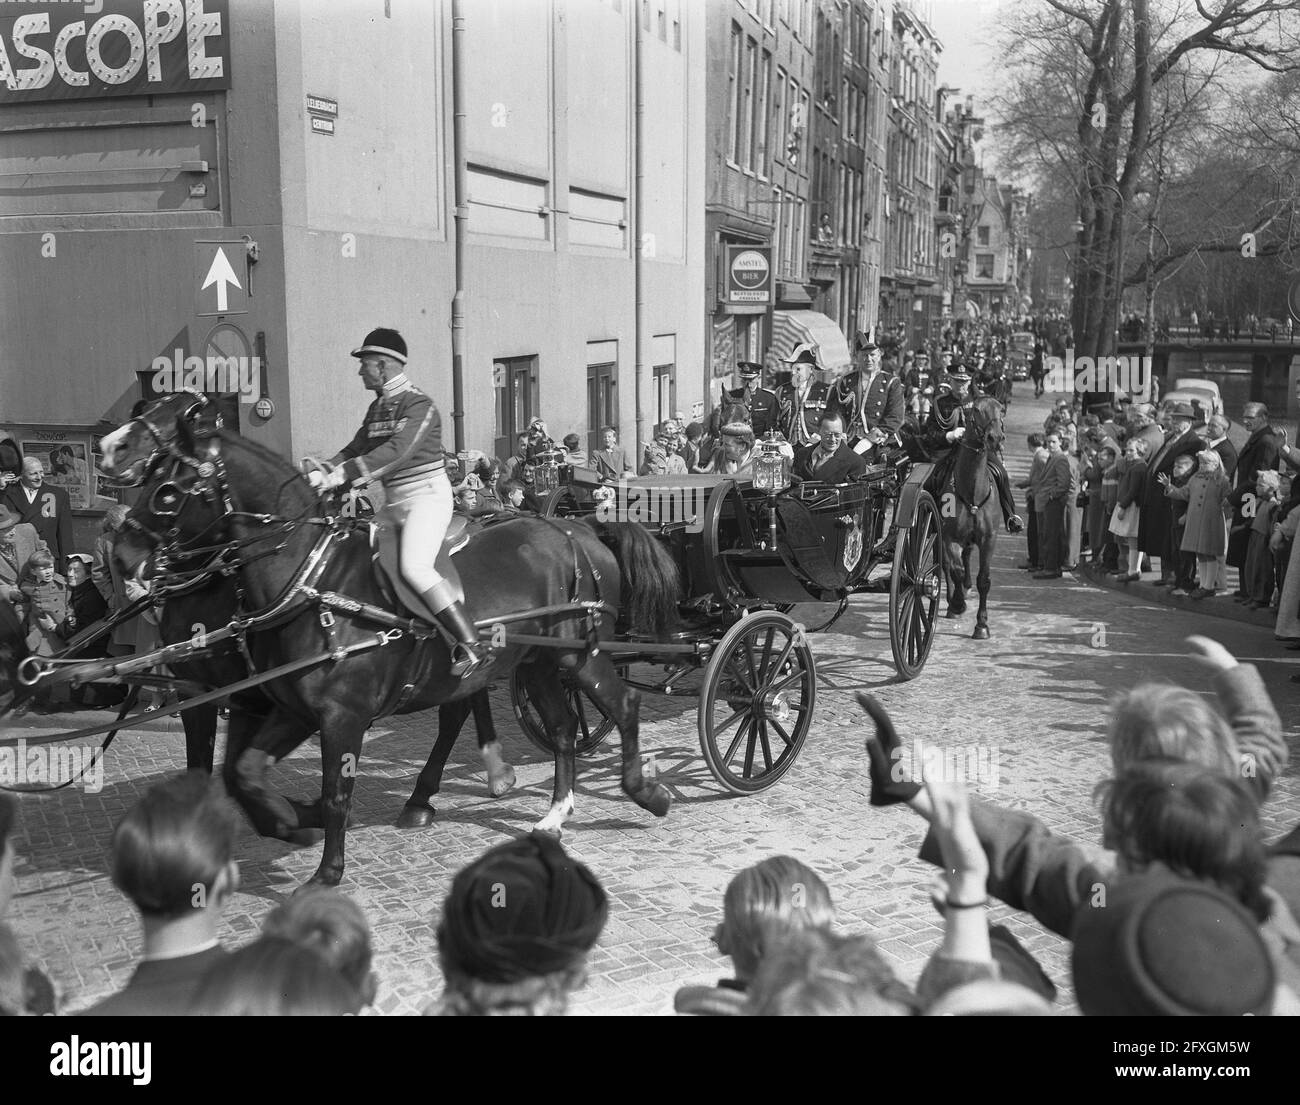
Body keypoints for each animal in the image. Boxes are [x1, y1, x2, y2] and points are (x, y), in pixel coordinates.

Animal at [98, 400, 681, 883]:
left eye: (168, 491)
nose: (122, 553)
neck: (313, 579)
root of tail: (579, 530)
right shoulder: (283, 708)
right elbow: (244, 771)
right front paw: (290, 821)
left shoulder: (339, 716)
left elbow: (335, 792)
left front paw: (325, 870)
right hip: (536, 665)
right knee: (559, 729)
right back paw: (550, 813)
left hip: (583, 658)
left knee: (622, 705)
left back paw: (644, 791)